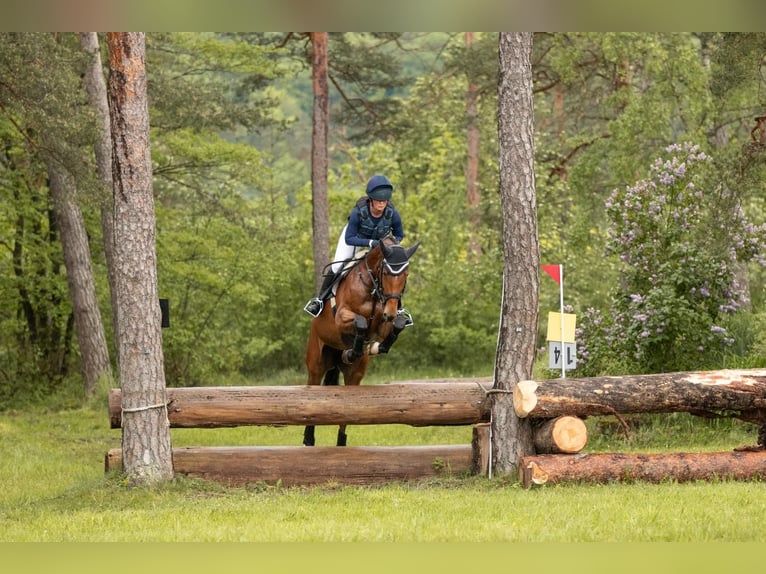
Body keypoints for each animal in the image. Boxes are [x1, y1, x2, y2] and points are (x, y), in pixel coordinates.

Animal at [303, 235, 420, 446]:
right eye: (386, 272)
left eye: (406, 274)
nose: (391, 312)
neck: (373, 288)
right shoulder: (342, 317)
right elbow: (361, 322)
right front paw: (355, 348)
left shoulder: (383, 324)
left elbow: (395, 327)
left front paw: (373, 346)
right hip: (316, 363)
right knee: (312, 393)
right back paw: (308, 439)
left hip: (354, 375)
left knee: (347, 415)